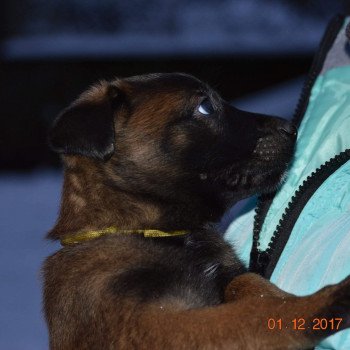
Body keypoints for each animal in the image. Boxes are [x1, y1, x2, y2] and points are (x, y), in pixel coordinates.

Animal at [43, 72, 350, 348]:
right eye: (205, 107)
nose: (292, 129)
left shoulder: (225, 277)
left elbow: (249, 283)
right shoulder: (156, 325)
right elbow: (255, 314)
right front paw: (330, 298)